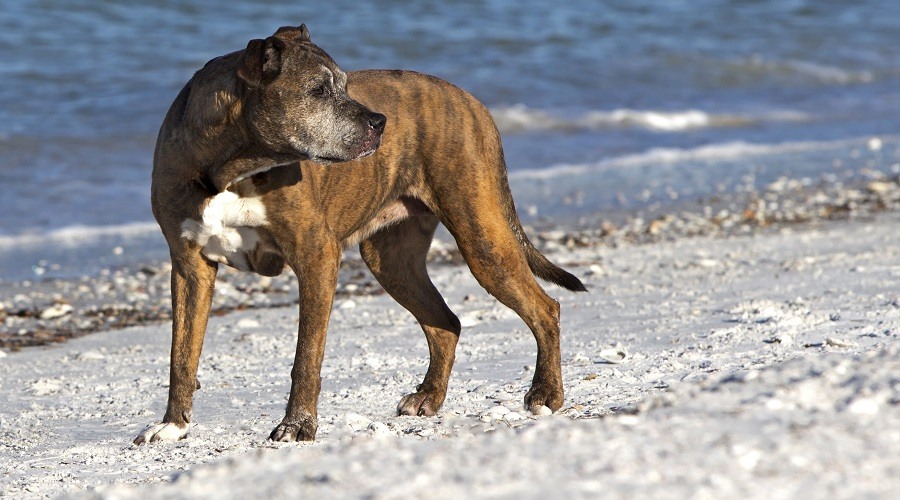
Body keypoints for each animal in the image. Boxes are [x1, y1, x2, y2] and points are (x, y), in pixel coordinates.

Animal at [132, 24, 584, 446]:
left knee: (545, 308)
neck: (232, 167)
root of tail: (472, 102)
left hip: (482, 239)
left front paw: (297, 425)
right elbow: (181, 354)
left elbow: (306, 356)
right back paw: (429, 397)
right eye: (317, 90)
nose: (380, 121)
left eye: (345, 85)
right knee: (445, 323)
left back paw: (545, 393)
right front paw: (172, 425)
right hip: (392, 262)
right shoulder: (189, 267)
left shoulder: (316, 257)